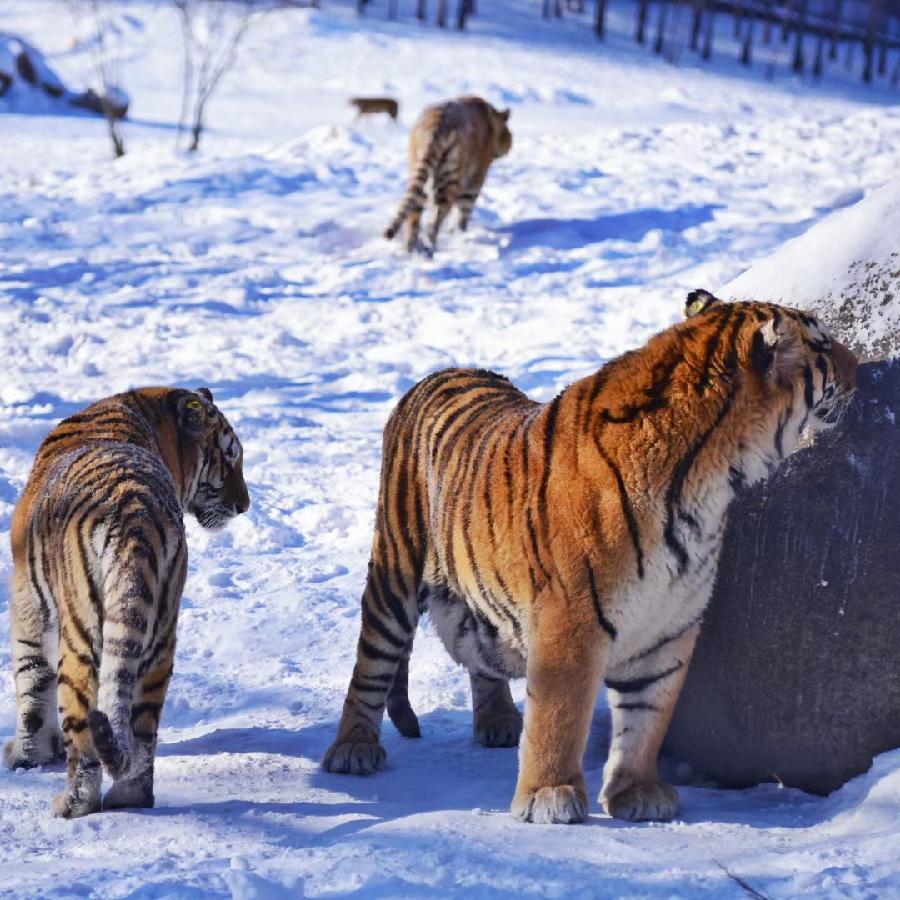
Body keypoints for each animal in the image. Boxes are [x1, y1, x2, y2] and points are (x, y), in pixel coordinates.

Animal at [3, 387, 249, 818]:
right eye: (230, 458)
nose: (244, 505)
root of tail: (135, 516)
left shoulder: (27, 605)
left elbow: (31, 686)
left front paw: (24, 757)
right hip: (159, 638)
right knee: (141, 734)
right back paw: (129, 798)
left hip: (80, 638)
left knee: (85, 736)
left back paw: (70, 804)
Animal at [323, 294, 857, 825]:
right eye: (824, 346)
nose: (860, 369)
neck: (714, 479)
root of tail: (440, 373)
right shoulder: (571, 619)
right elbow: (560, 718)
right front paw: (549, 796)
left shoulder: (669, 622)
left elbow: (647, 716)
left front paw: (636, 792)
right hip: (394, 572)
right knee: (371, 663)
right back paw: (353, 750)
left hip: (480, 609)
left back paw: (499, 721)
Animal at [384, 95, 512, 255]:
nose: (509, 145)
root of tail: (437, 123)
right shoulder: (475, 180)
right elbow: (463, 212)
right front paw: (460, 235)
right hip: (450, 178)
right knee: (434, 221)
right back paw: (430, 249)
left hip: (418, 169)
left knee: (415, 209)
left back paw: (409, 249)